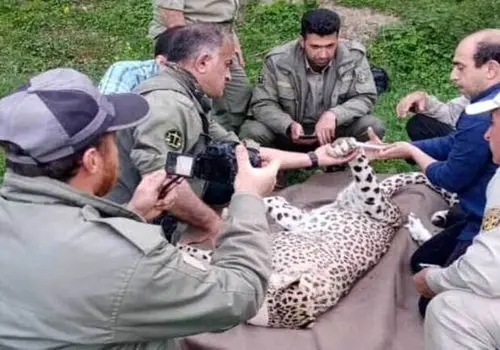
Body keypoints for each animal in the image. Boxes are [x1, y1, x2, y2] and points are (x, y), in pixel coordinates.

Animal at [176, 138, 458, 330]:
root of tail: (394, 216)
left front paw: (184, 251)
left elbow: (212, 258)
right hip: (318, 212)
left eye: (267, 296)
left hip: (362, 203)